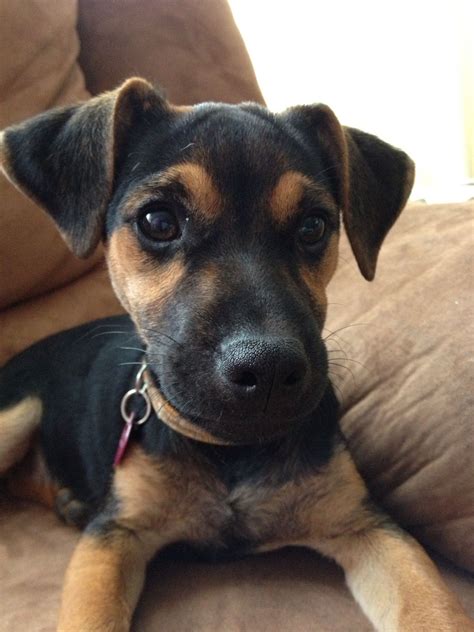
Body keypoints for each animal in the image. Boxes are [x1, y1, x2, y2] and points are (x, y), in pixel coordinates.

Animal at [0, 80, 474, 632]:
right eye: (158, 221)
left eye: (314, 226)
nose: (267, 369)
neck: (231, 446)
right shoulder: (114, 536)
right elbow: (90, 616)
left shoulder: (365, 523)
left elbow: (432, 606)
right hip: (16, 415)